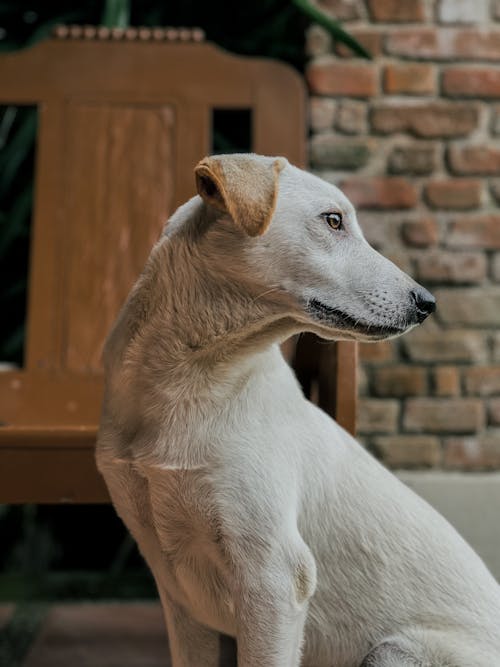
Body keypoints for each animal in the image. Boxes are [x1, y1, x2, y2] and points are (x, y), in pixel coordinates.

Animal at [96, 154, 500, 664]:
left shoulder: (274, 578)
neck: (187, 380)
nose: (427, 303)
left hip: (394, 650)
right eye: (333, 221)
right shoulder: (178, 592)